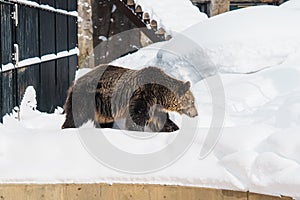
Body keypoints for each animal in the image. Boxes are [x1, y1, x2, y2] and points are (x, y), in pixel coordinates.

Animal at [61, 65, 197, 132]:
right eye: (192, 102)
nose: (196, 114)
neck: (160, 94)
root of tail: (75, 81)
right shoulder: (143, 95)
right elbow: (137, 116)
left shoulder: (155, 107)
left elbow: (161, 120)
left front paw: (174, 128)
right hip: (86, 97)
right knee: (76, 115)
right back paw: (67, 128)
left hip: (102, 108)